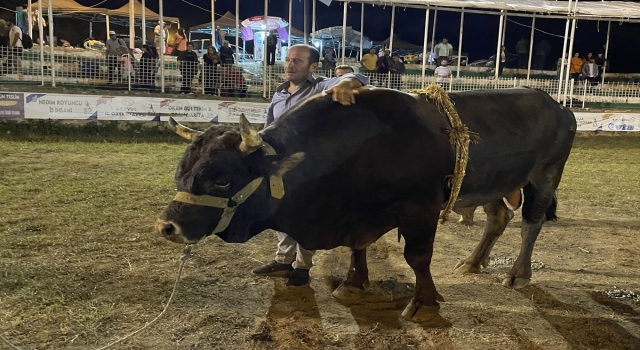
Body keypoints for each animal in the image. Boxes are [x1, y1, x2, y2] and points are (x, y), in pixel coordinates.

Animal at [158, 87, 576, 326]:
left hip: (545, 175)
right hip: (496, 186)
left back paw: (518, 273)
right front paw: (354, 283)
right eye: (182, 169)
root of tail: (558, 106)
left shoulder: (420, 207)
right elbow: (357, 246)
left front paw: (425, 304)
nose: (167, 226)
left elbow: (417, 257)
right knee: (498, 219)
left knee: (531, 223)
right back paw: (473, 262)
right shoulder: (356, 214)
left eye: (223, 179)